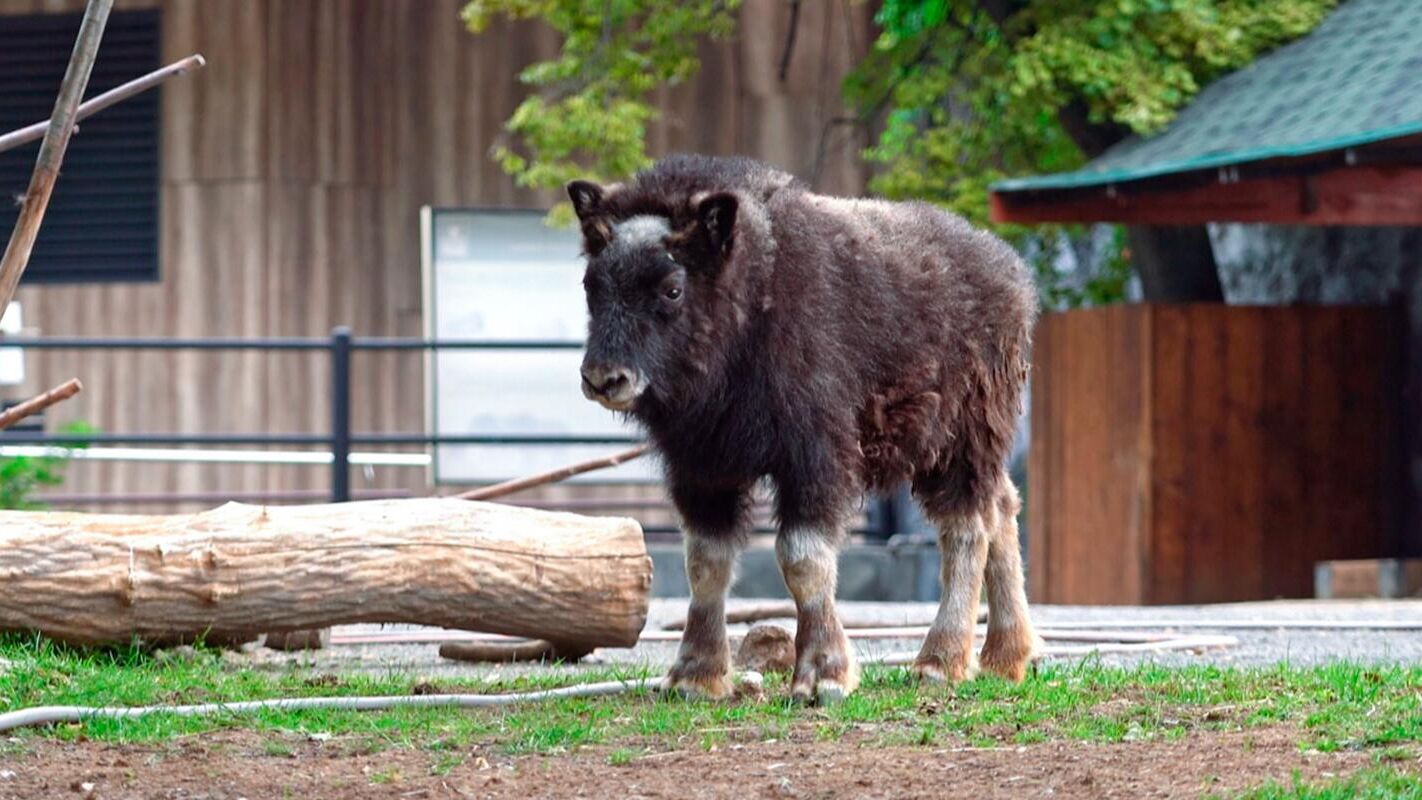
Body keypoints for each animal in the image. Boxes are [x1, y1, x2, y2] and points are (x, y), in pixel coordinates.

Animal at [568, 153, 1046, 704]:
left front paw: (822, 676)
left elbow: (802, 558)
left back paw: (940, 662)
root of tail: (1011, 272)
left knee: (967, 527)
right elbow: (705, 562)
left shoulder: (814, 457)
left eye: (671, 288)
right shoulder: (702, 466)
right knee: (1001, 507)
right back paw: (1007, 657)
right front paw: (694, 675)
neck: (753, 299)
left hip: (961, 440)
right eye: (591, 285)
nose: (603, 378)